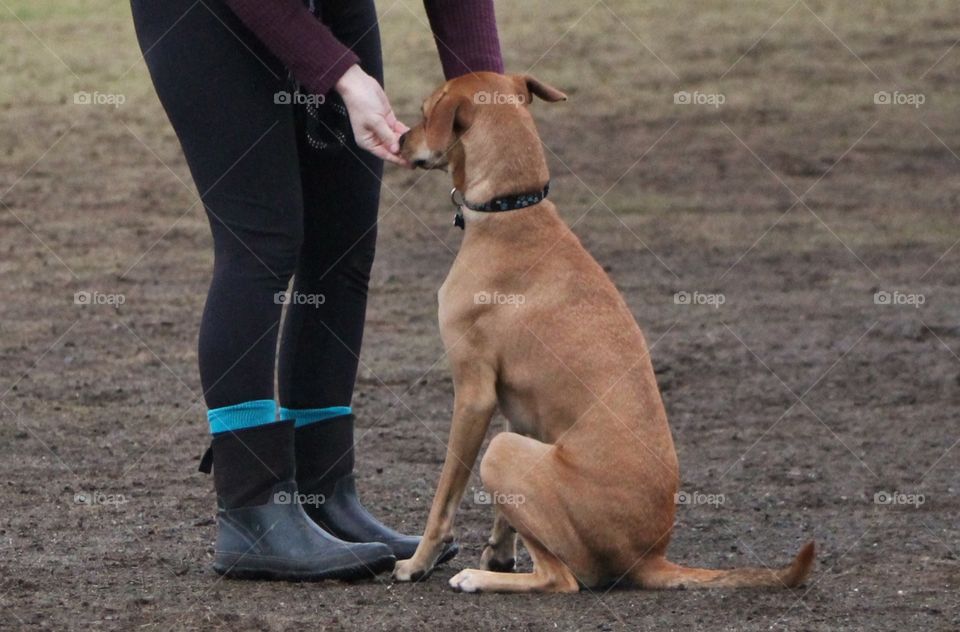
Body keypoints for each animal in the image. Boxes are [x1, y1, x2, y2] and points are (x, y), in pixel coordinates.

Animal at [394, 74, 812, 592]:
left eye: (424, 111)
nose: (398, 140)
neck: (511, 209)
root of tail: (651, 557)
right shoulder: (517, 410)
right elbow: (505, 517)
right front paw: (499, 551)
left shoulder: (474, 396)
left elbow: (444, 498)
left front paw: (419, 561)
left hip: (502, 454)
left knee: (560, 579)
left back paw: (477, 577)